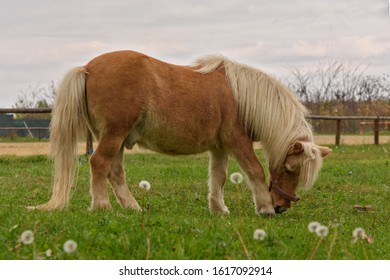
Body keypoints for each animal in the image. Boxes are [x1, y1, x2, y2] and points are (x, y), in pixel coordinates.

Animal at [35, 50, 330, 215]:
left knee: (115, 172)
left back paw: (132, 207)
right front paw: (264, 208)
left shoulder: (220, 147)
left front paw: (218, 209)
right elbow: (255, 171)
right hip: (113, 135)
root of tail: (88, 68)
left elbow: (219, 177)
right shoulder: (238, 142)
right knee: (99, 164)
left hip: (116, 138)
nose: (281, 207)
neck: (241, 96)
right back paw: (101, 206)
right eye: (291, 169)